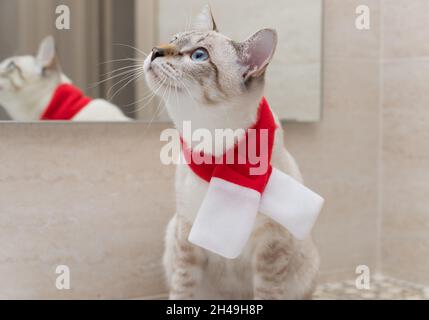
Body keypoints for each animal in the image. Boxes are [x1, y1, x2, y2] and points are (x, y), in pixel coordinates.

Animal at [145, 5, 320, 300]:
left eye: (199, 55)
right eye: (173, 39)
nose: (155, 50)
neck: (214, 151)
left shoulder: (271, 246)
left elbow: (266, 293)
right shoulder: (186, 234)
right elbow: (182, 289)